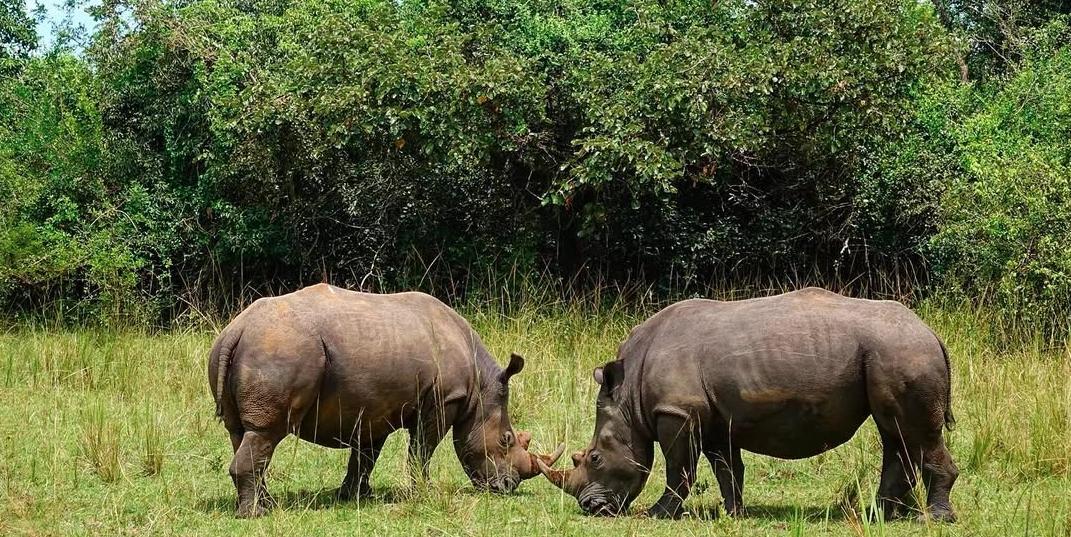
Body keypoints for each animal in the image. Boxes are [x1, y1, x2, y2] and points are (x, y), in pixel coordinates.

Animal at [208, 283, 563, 517]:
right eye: (506, 440)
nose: (508, 486)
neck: (480, 387)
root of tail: (236, 330)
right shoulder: (443, 400)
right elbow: (421, 450)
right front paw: (423, 493)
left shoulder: (373, 407)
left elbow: (365, 455)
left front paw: (353, 496)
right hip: (281, 349)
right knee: (267, 433)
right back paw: (255, 515)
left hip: (250, 349)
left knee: (243, 434)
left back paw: (265, 505)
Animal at [537, 288, 958, 522]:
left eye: (594, 458)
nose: (591, 508)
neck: (629, 394)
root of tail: (932, 332)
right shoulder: (710, 416)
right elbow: (727, 468)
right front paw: (734, 513)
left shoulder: (677, 411)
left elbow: (679, 467)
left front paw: (660, 515)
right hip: (894, 352)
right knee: (896, 433)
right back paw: (882, 515)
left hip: (902, 352)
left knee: (913, 432)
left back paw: (936, 520)